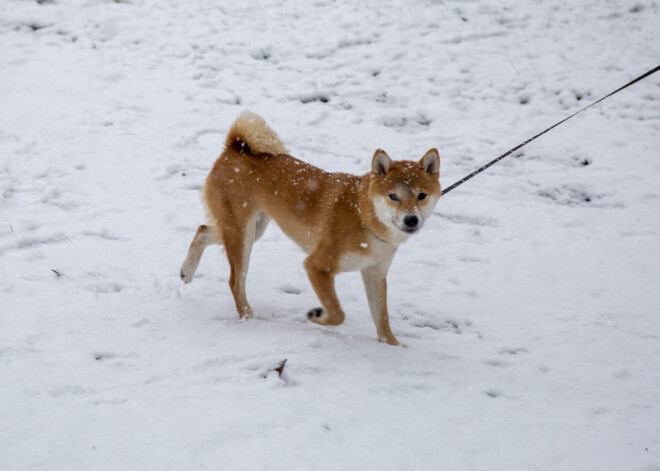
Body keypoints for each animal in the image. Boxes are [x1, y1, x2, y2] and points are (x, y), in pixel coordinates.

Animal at [179, 112, 444, 344]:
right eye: (393, 196)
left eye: (421, 196)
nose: (411, 220)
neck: (365, 218)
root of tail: (234, 148)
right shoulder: (317, 266)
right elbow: (338, 313)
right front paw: (317, 316)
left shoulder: (375, 274)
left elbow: (382, 320)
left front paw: (393, 347)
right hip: (241, 235)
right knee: (235, 281)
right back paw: (249, 318)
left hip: (253, 229)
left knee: (203, 230)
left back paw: (186, 271)